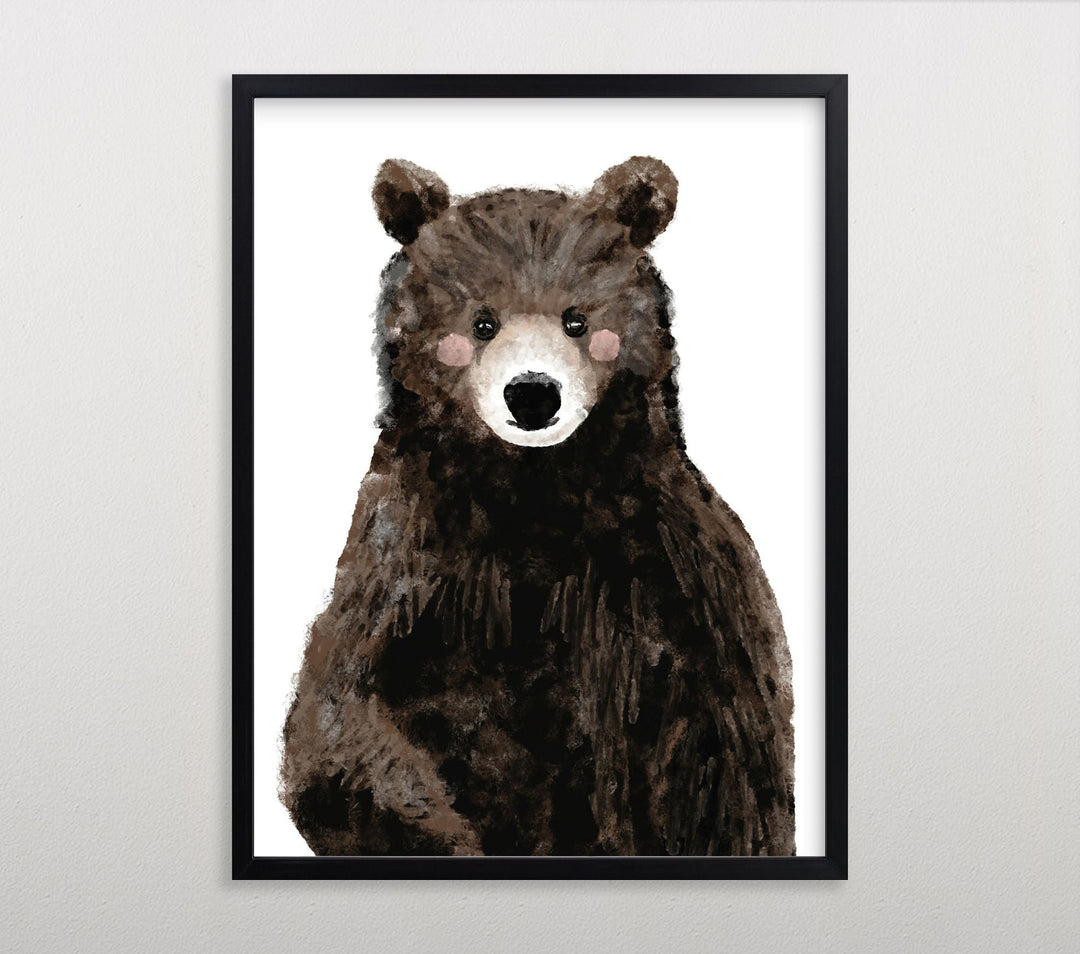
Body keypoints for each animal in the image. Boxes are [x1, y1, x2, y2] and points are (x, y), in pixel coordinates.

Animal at [280, 156, 795, 856]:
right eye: (482, 320)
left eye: (576, 318)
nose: (531, 394)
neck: (533, 493)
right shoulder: (406, 558)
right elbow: (341, 723)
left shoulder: (671, 574)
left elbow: (723, 761)